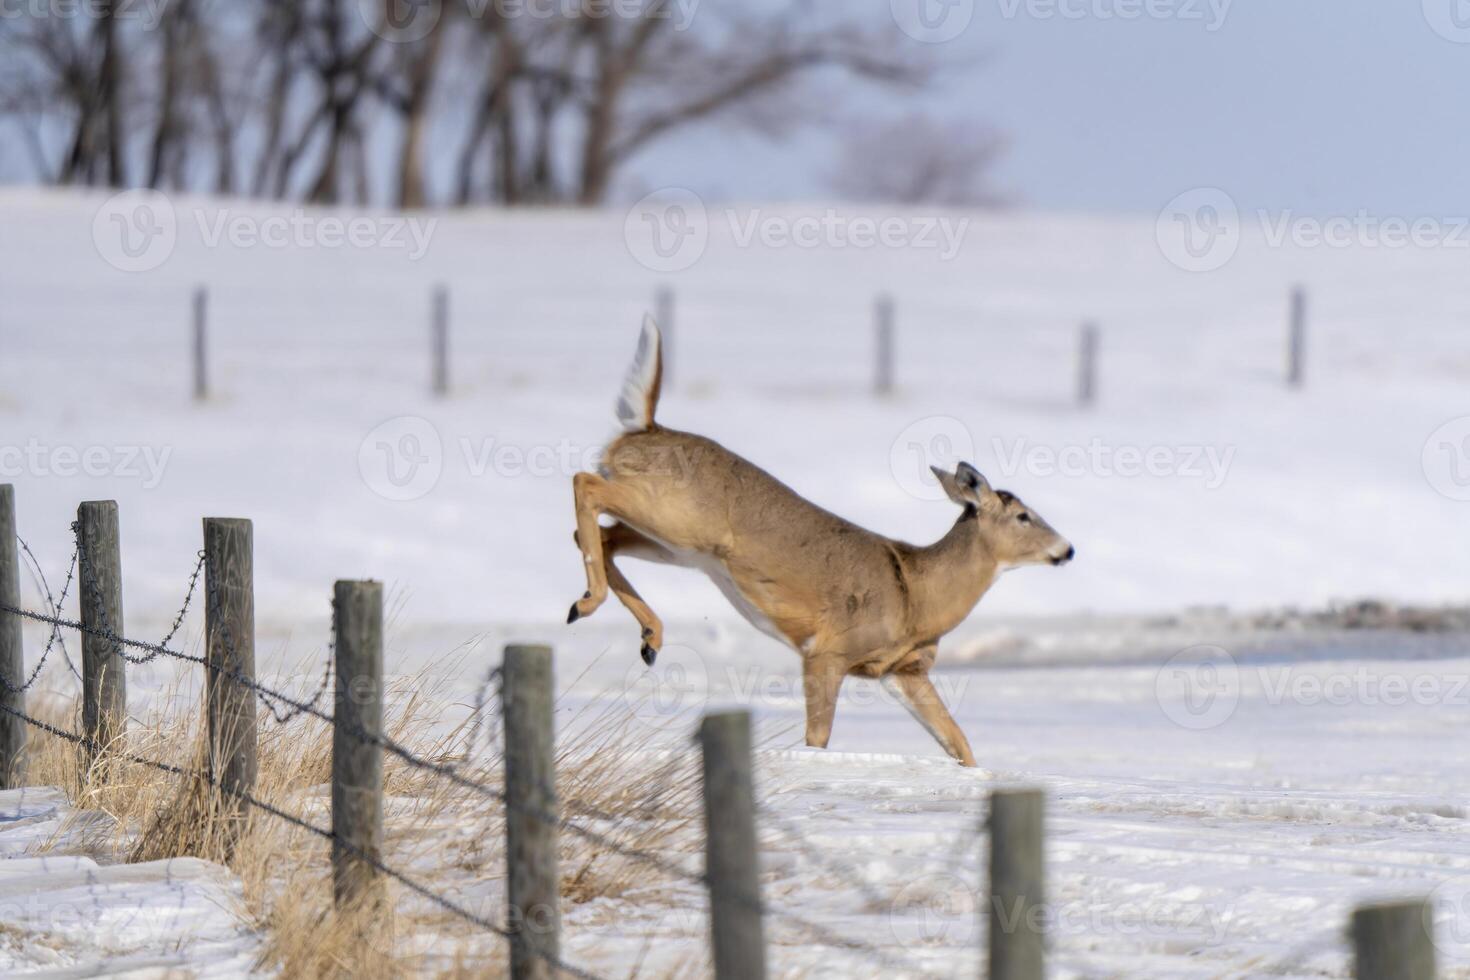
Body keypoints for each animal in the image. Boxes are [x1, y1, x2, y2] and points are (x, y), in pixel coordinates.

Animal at [567, 320, 1076, 764]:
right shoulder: (827, 650)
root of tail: (644, 428)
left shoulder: (903, 669)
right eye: (1024, 516)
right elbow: (818, 739)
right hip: (679, 520)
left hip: (680, 546)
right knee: (585, 484)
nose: (1067, 549)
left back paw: (646, 637)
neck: (918, 595)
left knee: (603, 535)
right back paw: (589, 604)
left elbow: (959, 741)